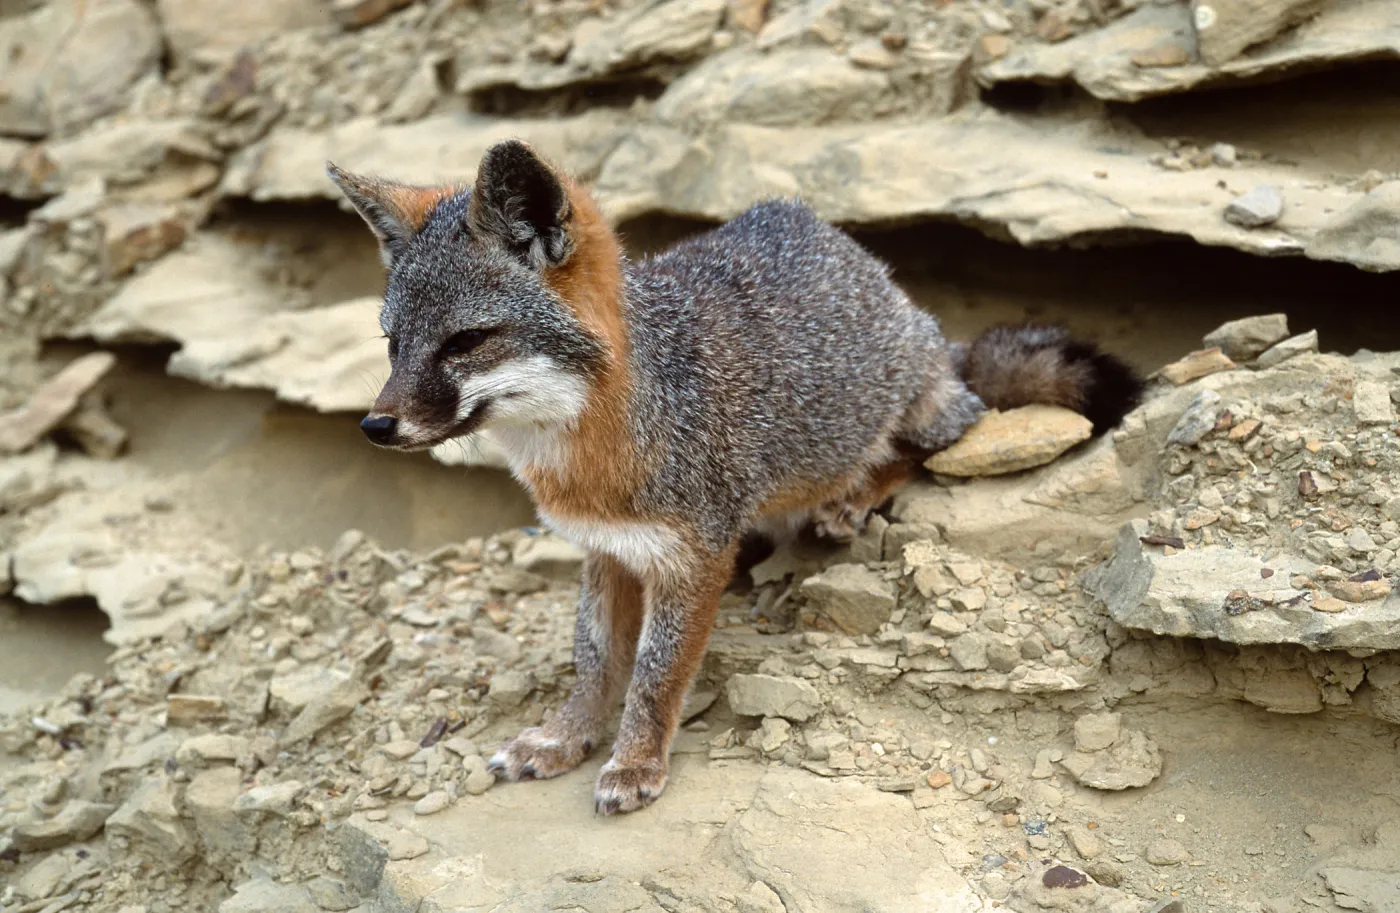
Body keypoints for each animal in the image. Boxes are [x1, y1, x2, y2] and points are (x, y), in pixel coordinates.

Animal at [328, 140, 1144, 815]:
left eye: (466, 342)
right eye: (393, 344)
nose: (374, 426)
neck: (596, 446)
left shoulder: (689, 556)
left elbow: (655, 673)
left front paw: (635, 762)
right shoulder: (606, 548)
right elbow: (594, 659)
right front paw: (565, 736)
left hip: (918, 408)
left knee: (942, 436)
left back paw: (852, 497)